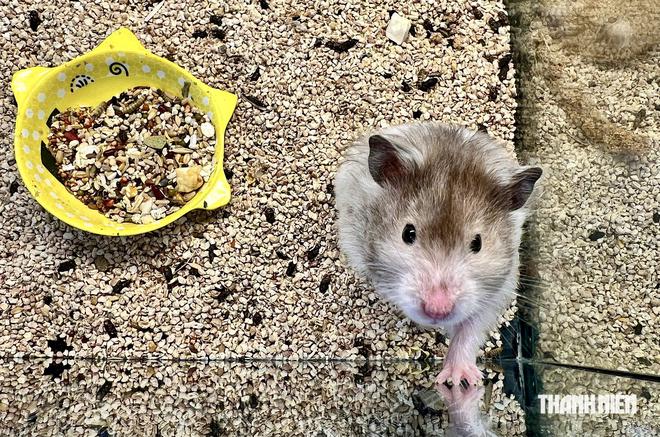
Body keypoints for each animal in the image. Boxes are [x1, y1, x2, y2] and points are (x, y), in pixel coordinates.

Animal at [334, 123, 542, 385]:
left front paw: (458, 379)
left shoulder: (495, 293)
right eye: (408, 233)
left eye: (477, 243)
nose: (437, 311)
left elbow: (468, 332)